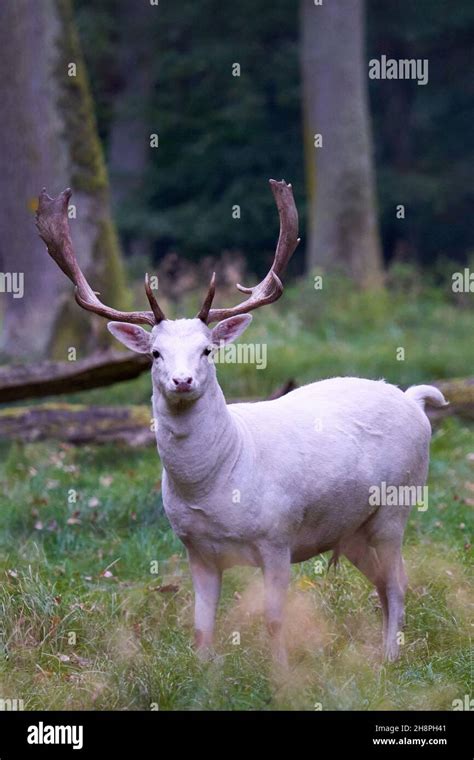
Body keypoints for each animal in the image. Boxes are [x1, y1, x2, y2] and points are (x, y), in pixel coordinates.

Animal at [37, 181, 448, 664]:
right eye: (155, 353)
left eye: (207, 349)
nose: (182, 380)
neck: (214, 486)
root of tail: (413, 399)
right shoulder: (195, 549)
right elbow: (201, 627)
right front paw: (204, 673)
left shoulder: (277, 537)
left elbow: (274, 620)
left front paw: (281, 674)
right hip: (351, 531)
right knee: (384, 584)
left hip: (395, 507)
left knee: (399, 582)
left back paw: (389, 660)